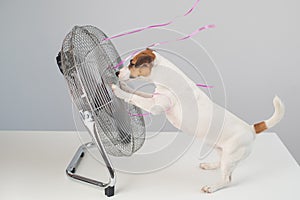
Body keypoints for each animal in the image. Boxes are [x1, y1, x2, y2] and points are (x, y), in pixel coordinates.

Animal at [111, 47, 284, 193]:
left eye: (132, 63)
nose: (117, 73)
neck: (168, 77)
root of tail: (251, 129)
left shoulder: (155, 106)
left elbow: (134, 98)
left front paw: (118, 91)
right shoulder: (153, 97)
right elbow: (137, 93)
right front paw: (124, 86)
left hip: (231, 155)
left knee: (227, 179)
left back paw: (212, 187)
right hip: (220, 149)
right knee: (220, 163)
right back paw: (210, 165)